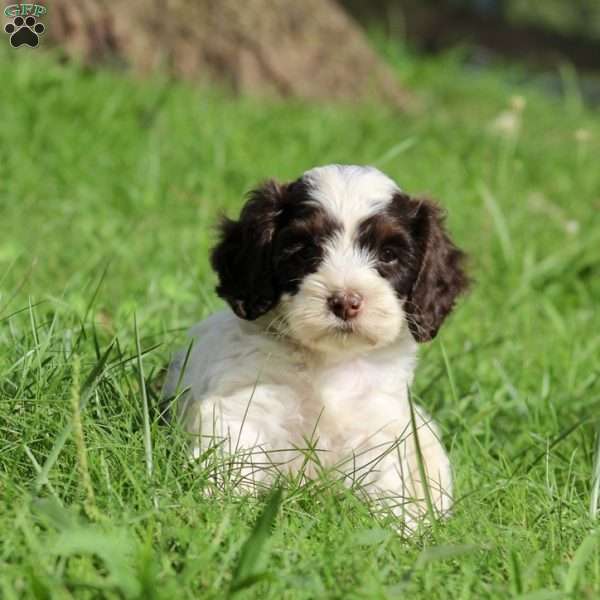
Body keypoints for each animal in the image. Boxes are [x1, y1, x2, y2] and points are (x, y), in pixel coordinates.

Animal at [165, 165, 468, 528]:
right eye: (305, 250)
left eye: (389, 255)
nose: (345, 302)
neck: (328, 360)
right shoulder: (246, 405)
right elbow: (232, 459)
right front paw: (221, 513)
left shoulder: (377, 427)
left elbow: (384, 485)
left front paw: (396, 530)